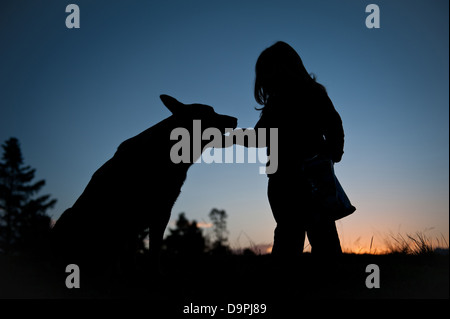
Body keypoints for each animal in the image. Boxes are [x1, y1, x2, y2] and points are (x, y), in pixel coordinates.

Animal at [51, 95, 237, 288]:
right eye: (210, 111)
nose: (235, 119)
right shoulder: (139, 214)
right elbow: (142, 252)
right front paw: (142, 276)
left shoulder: (160, 212)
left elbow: (147, 251)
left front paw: (145, 276)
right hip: (68, 218)